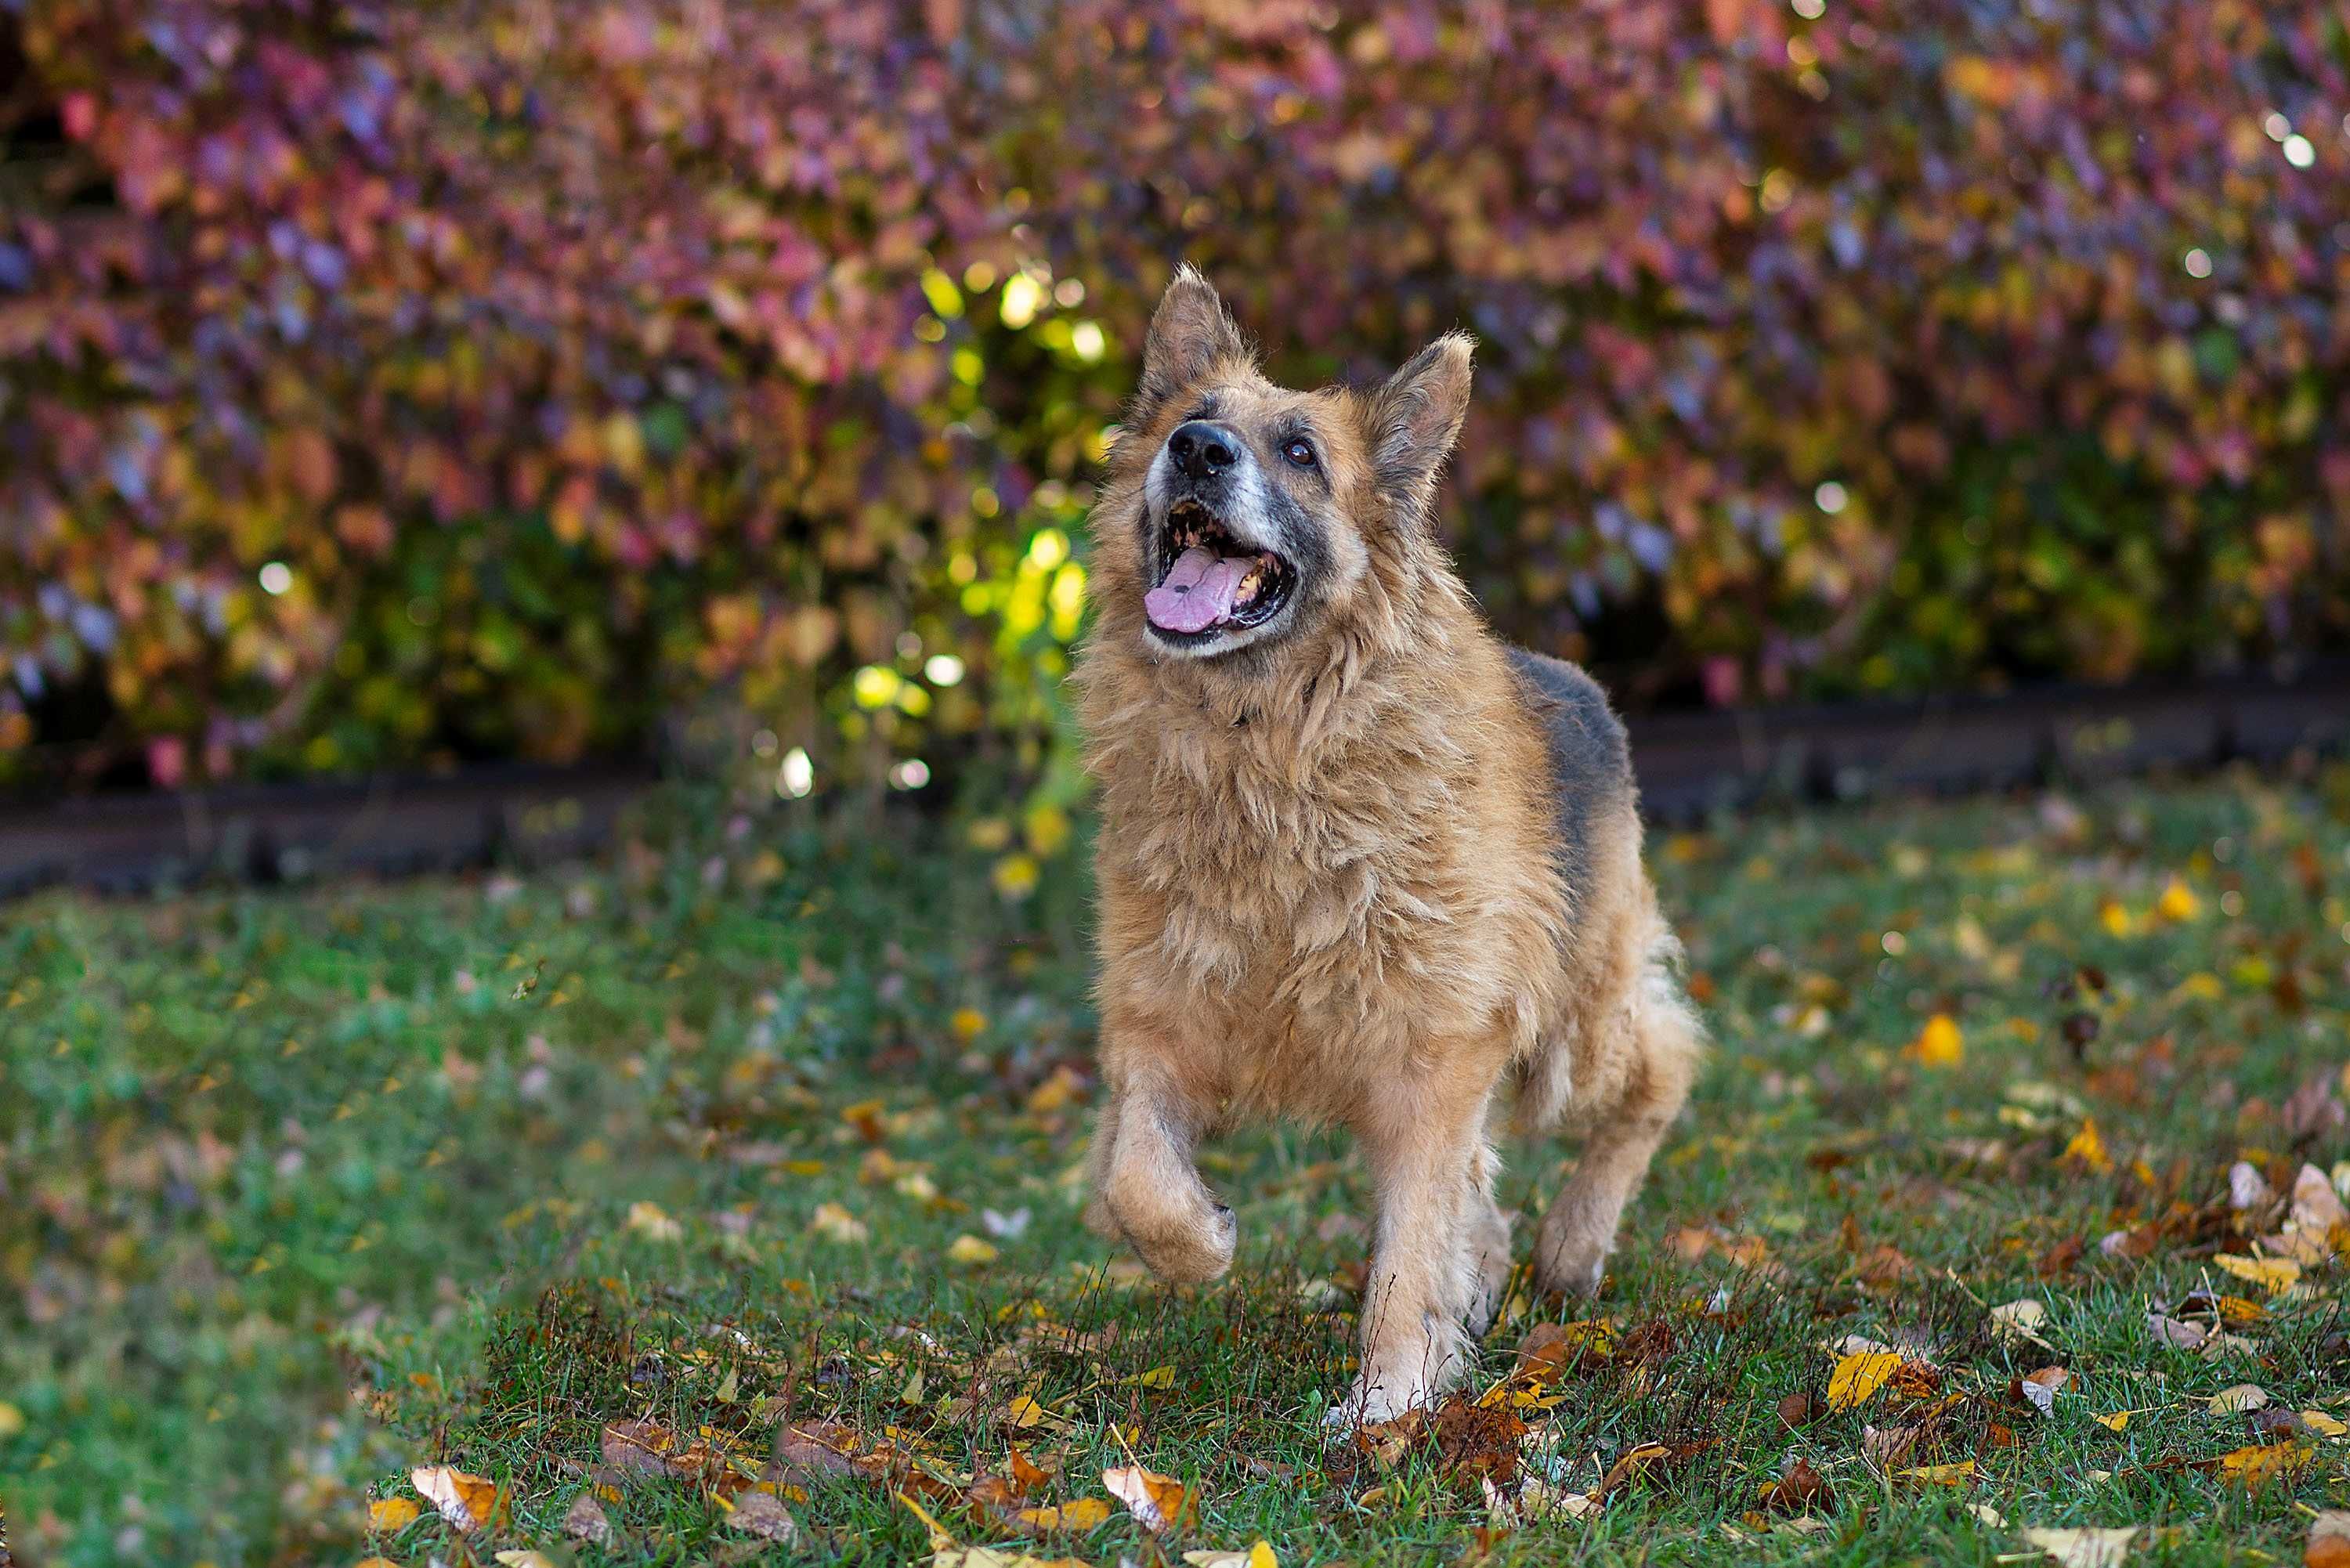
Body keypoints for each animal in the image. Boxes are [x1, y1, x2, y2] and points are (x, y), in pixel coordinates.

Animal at [1076, 273, 1701, 1438]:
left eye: (1300, 451)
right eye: (1194, 418)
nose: (1195, 448)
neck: (1268, 751)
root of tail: (1580, 682)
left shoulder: (1433, 1051)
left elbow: (1411, 1246)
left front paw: (1390, 1400)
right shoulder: (1159, 1022)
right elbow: (1139, 1175)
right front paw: (1204, 1237)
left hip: (1571, 1030)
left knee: (1665, 1065)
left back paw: (1576, 1243)